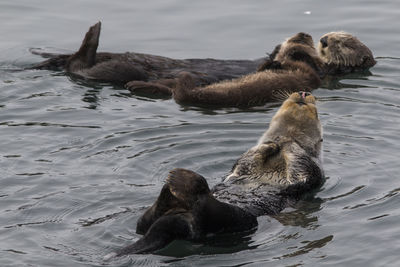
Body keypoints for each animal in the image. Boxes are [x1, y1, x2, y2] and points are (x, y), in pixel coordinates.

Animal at [104, 92, 324, 260]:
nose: (304, 92)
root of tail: (176, 221)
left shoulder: (312, 171)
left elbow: (301, 164)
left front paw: (289, 145)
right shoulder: (243, 163)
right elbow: (249, 158)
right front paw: (271, 144)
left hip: (238, 220)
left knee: (203, 208)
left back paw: (183, 181)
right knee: (143, 223)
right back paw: (171, 189)